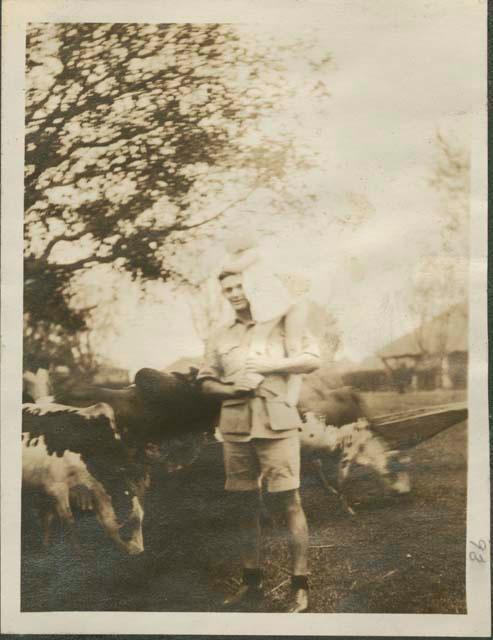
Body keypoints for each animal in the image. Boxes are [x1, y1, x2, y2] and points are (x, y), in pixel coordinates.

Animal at [21, 402, 146, 552]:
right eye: (127, 522)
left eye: (141, 519)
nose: (139, 550)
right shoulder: (56, 487)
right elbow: (69, 522)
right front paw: (78, 553)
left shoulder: (45, 488)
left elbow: (47, 518)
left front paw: (45, 547)